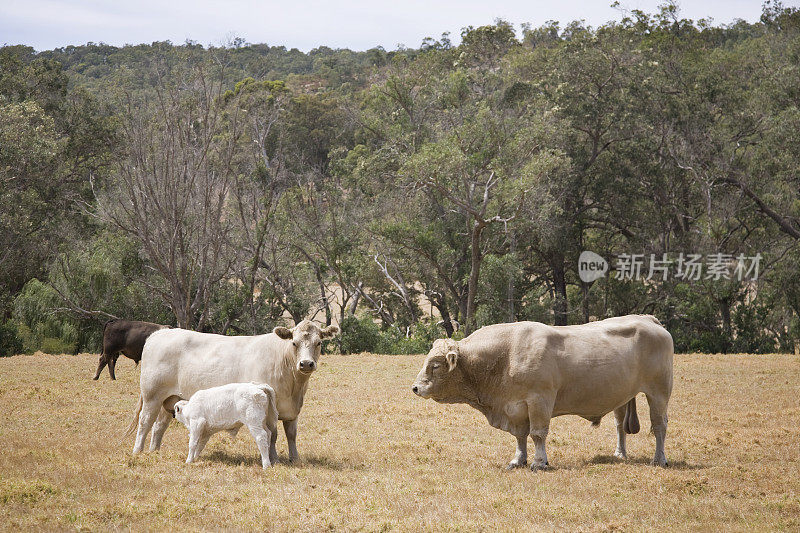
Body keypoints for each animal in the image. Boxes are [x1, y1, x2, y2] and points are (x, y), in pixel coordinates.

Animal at [126, 320, 340, 462]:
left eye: (319, 343)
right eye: (294, 343)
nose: (306, 363)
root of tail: (159, 334)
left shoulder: (292, 411)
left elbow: (292, 434)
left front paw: (294, 459)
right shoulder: (270, 410)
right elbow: (273, 434)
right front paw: (274, 459)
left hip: (170, 398)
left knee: (159, 426)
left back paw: (154, 451)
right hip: (152, 395)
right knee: (145, 422)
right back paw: (138, 451)